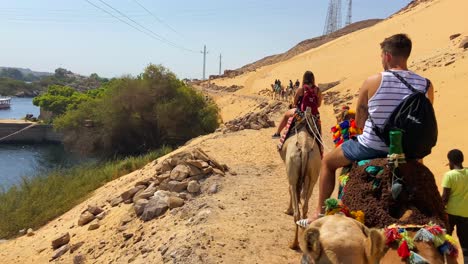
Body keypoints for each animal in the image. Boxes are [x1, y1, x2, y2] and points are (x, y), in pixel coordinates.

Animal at [278, 121, 322, 250]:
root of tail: (304, 148)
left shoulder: (290, 174)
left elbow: (290, 190)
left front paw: (288, 210)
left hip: (292, 166)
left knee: (297, 214)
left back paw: (294, 244)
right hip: (314, 170)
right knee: (305, 206)